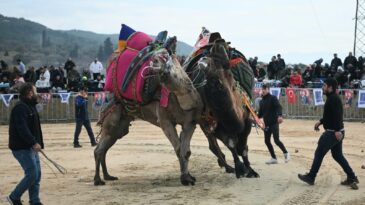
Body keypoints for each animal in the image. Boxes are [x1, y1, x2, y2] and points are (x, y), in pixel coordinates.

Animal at [93, 36, 202, 186]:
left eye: (165, 55)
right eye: (155, 57)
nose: (152, 64)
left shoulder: (189, 123)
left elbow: (186, 151)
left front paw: (189, 177)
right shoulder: (165, 121)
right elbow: (179, 149)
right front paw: (184, 179)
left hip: (121, 125)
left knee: (105, 147)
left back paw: (108, 176)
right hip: (112, 119)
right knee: (99, 149)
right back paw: (98, 180)